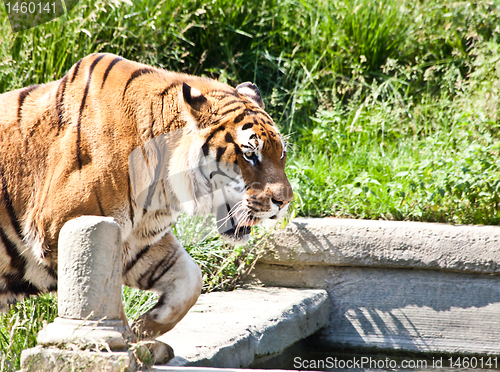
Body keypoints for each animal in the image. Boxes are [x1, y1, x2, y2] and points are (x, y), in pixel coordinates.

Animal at [0, 53, 292, 346]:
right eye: (250, 154)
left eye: (281, 154)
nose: (285, 201)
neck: (163, 189)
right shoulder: (62, 227)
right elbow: (103, 294)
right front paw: (120, 341)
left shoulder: (139, 242)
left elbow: (191, 280)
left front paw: (145, 329)